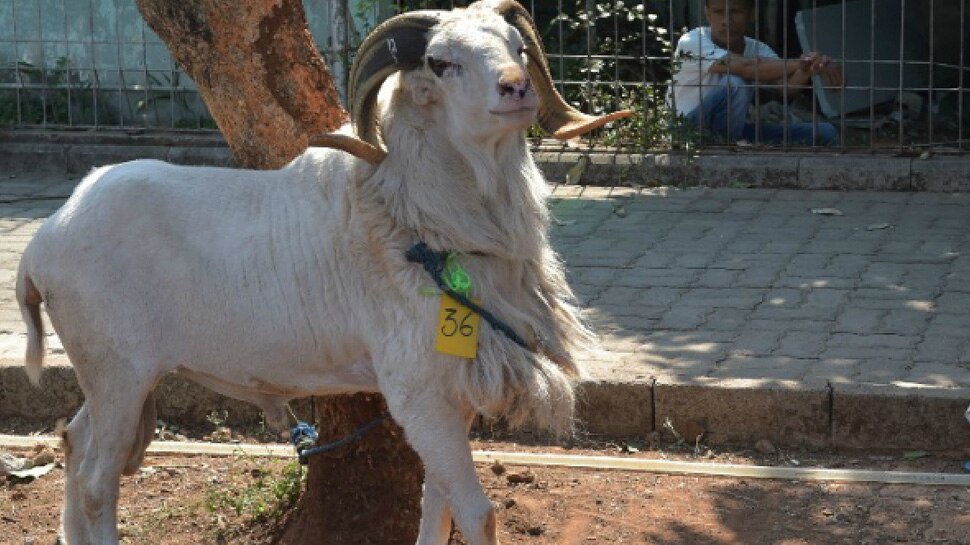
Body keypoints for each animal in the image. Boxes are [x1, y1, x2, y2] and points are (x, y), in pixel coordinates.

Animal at [15, 1, 629, 543]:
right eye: (439, 62)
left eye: (517, 46)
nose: (516, 89)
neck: (419, 220)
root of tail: (44, 242)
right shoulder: (418, 396)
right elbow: (478, 516)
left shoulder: (454, 398)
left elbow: (438, 507)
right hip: (118, 374)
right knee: (97, 484)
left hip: (109, 379)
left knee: (73, 445)